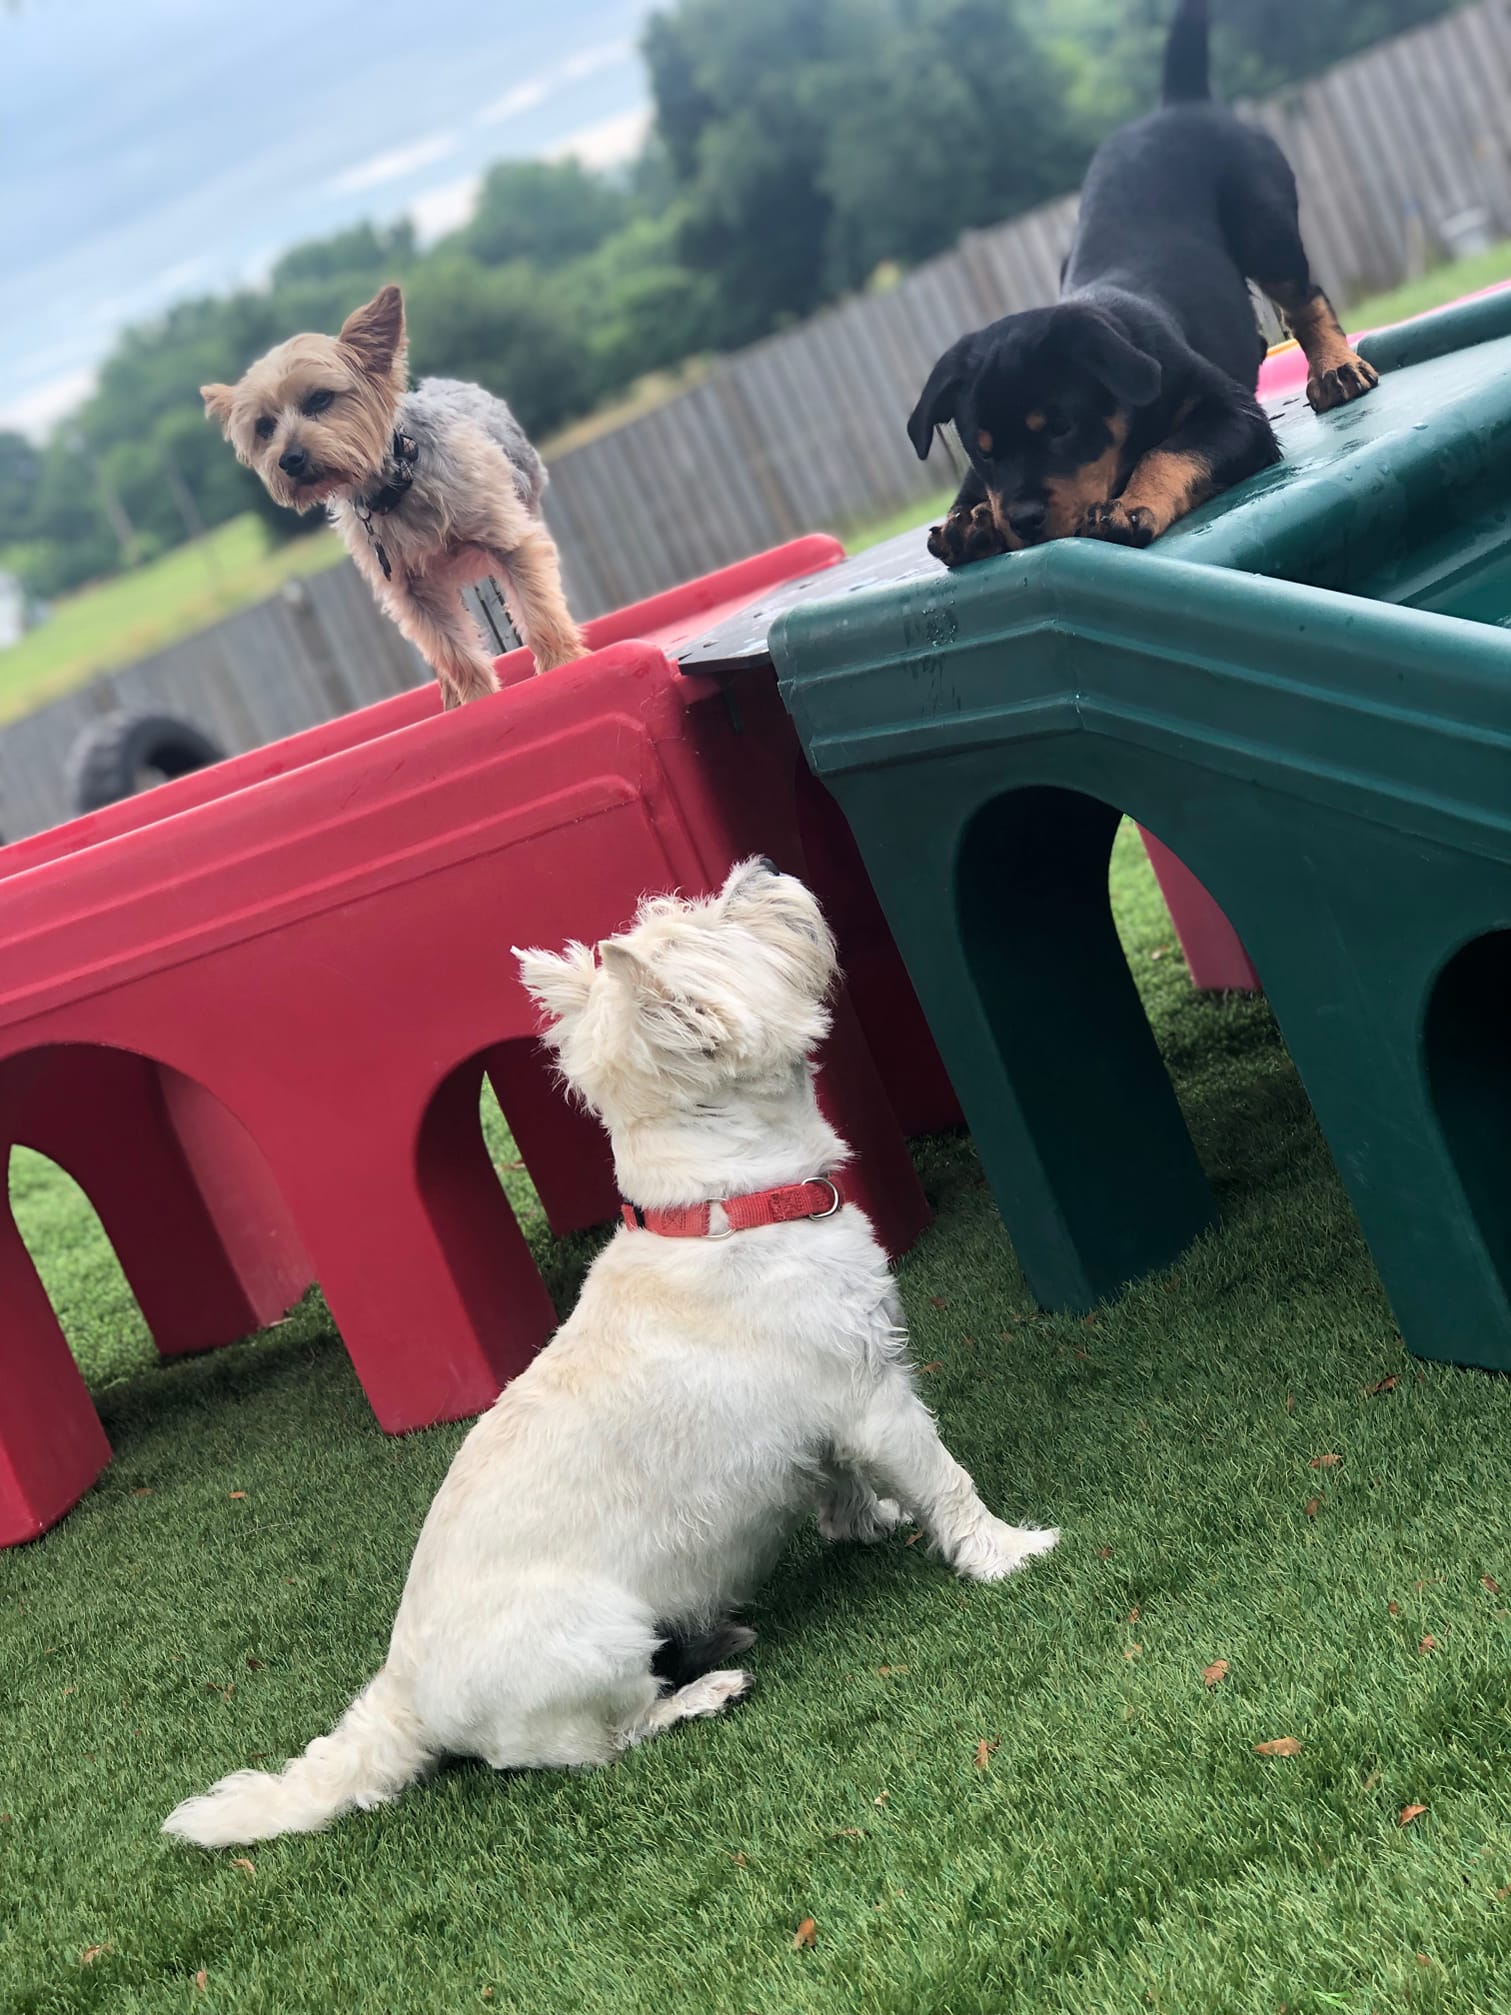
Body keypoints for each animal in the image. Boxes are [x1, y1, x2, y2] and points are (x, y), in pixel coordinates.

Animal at [165, 858, 1055, 1845]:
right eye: (710, 926)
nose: (757, 868)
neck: (725, 1207)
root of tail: (405, 1695)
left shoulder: (827, 1416)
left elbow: (840, 1481)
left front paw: (868, 1520)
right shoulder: (872, 1395)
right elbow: (945, 1476)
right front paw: (1008, 1549)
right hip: (596, 1640)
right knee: (594, 1740)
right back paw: (704, 1686)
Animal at [910, 0, 1386, 564]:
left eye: (1062, 427)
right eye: (983, 452)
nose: (1023, 521)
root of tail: (1180, 102)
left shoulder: (1233, 416)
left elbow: (1166, 452)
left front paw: (1127, 507)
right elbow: (970, 491)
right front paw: (968, 523)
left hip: (1264, 227)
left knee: (1304, 298)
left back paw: (1336, 368)